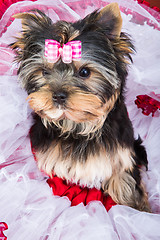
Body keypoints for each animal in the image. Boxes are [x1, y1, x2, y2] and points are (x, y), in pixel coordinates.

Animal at [10, 2, 150, 211]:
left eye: (84, 72)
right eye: (44, 72)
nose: (58, 95)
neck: (77, 124)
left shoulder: (121, 160)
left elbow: (126, 187)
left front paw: (137, 210)